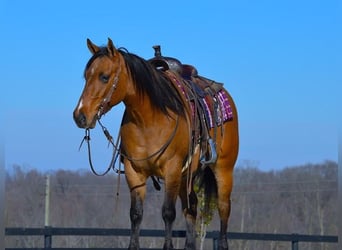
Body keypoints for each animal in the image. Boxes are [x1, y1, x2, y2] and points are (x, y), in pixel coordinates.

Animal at [73, 37, 238, 250]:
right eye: (86, 77)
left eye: (104, 77)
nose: (80, 116)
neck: (148, 120)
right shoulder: (134, 172)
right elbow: (136, 214)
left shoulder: (172, 170)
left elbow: (168, 213)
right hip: (187, 176)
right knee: (191, 207)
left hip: (223, 169)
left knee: (224, 208)